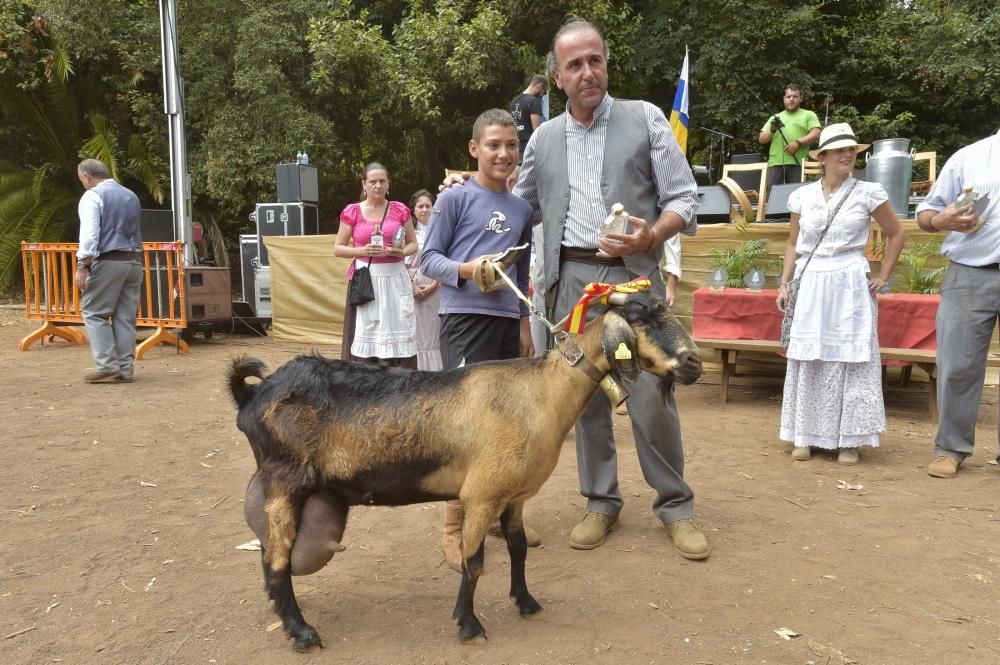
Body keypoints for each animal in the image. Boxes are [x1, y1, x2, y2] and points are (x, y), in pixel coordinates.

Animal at [229, 290, 704, 648]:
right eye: (642, 317)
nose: (694, 363)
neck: (541, 392)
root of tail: (253, 395)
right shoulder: (481, 495)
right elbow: (472, 562)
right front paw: (469, 625)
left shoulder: (513, 496)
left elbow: (517, 548)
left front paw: (526, 603)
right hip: (284, 482)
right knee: (276, 559)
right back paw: (302, 633)